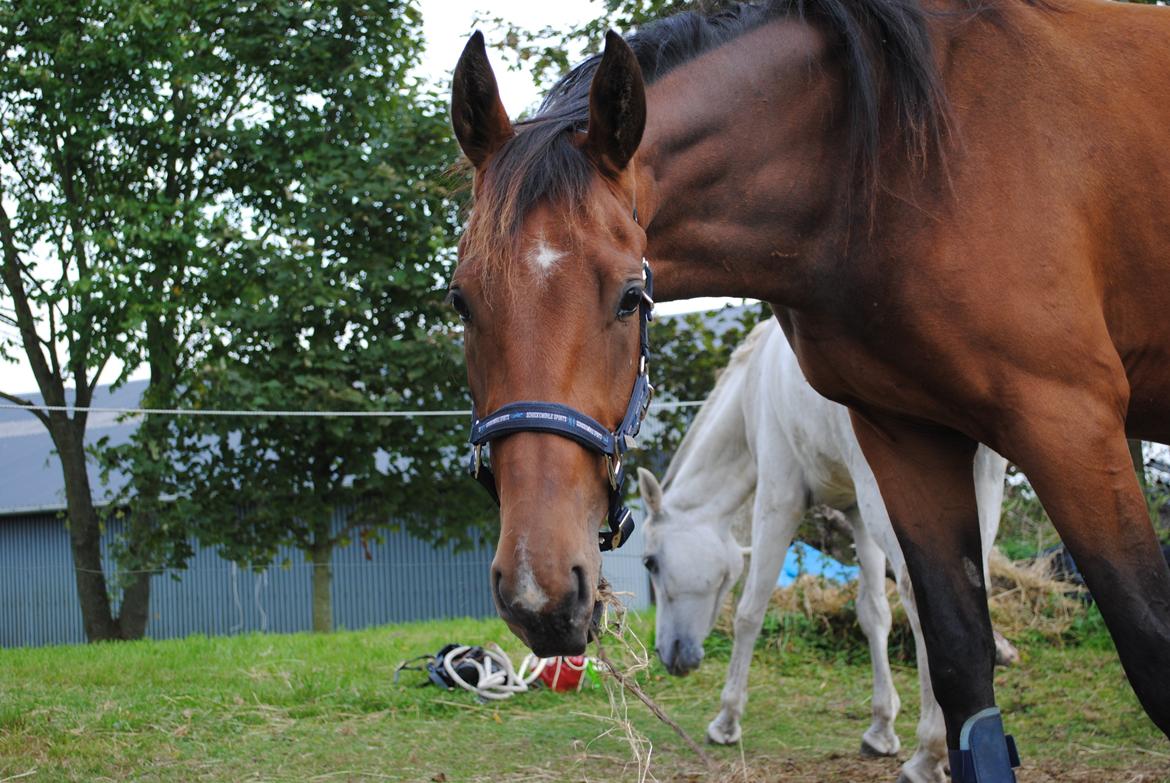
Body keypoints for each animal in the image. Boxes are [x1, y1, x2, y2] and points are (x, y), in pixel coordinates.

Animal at [636, 318, 1010, 781]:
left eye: (650, 562)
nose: (669, 654)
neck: (753, 384)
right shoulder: (858, 514)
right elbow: (874, 614)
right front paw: (881, 729)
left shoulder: (778, 499)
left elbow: (750, 611)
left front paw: (726, 721)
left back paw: (929, 752)